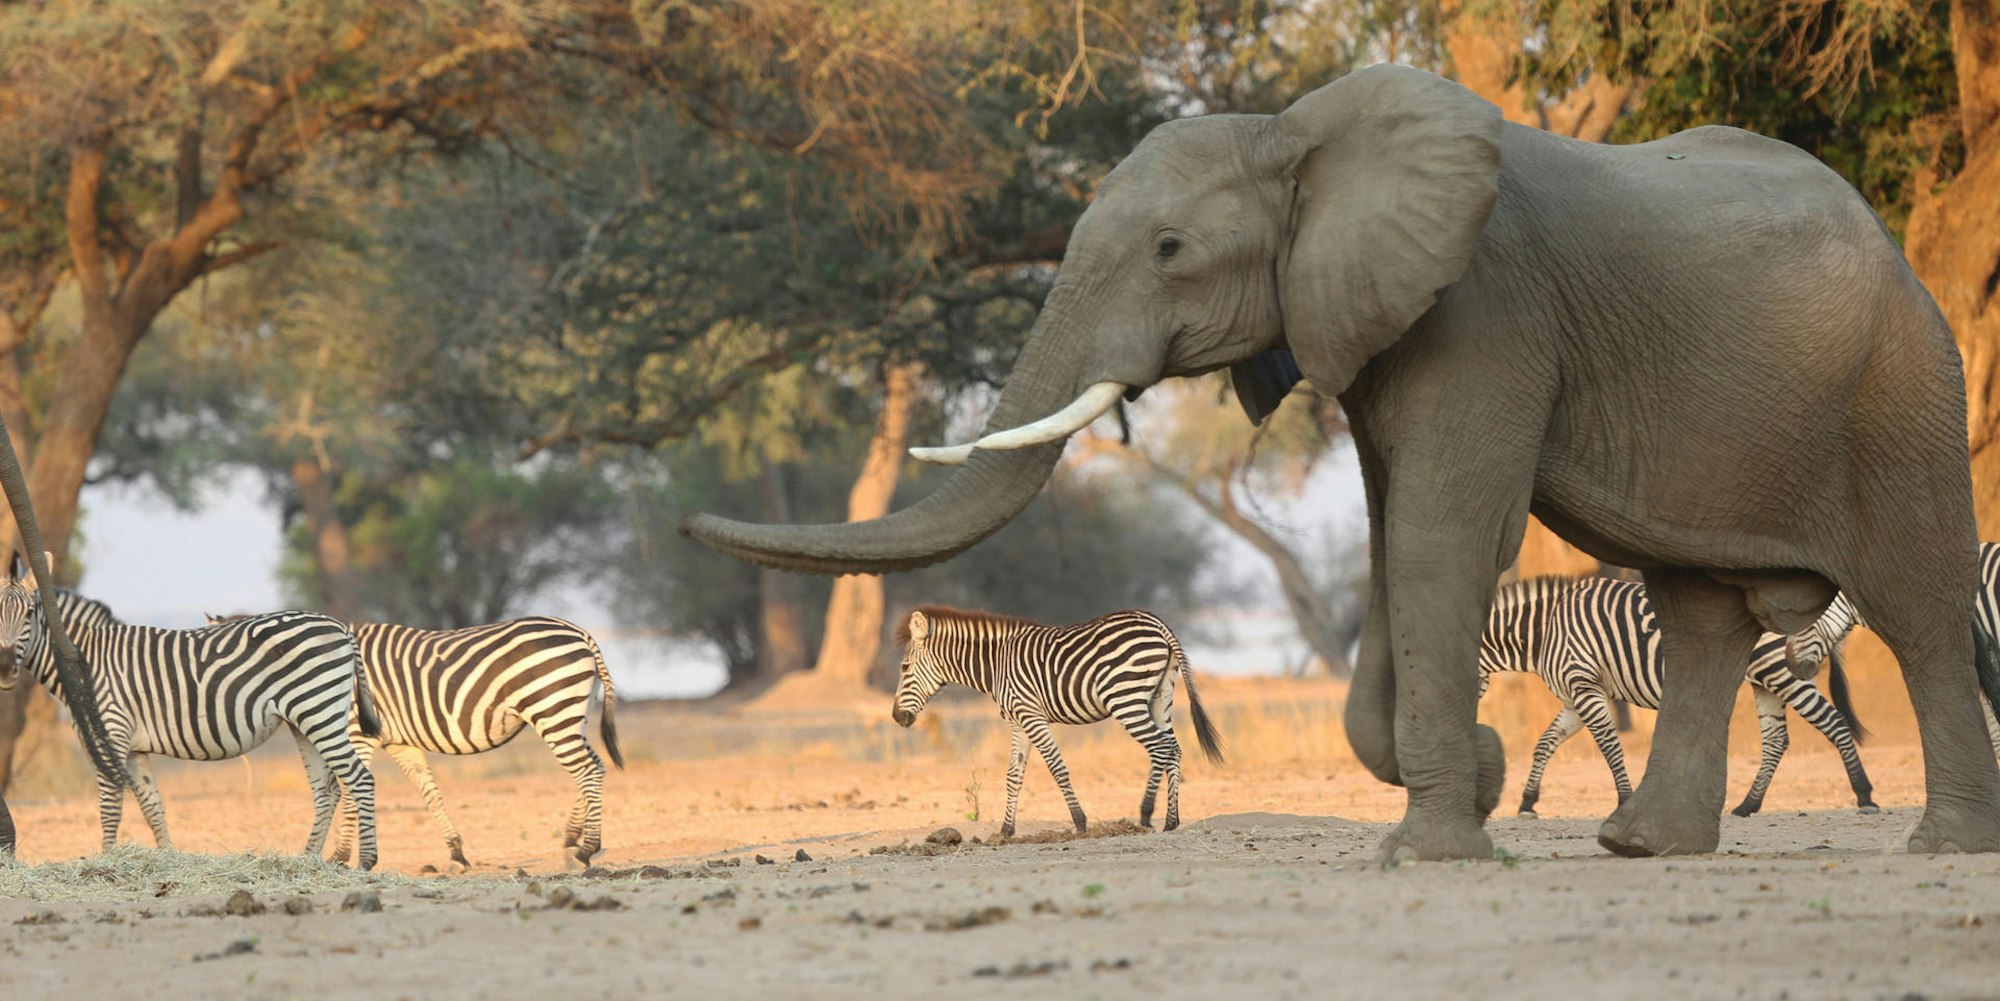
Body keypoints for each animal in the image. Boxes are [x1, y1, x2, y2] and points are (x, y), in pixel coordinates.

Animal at [683, 64, 2000, 860]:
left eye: (1169, 251)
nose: (684, 522)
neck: (1295, 132)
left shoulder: (1485, 303)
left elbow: (1437, 532)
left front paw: (1432, 846)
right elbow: (1387, 534)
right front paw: (1472, 786)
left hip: (1903, 376)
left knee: (1919, 604)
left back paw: (1940, 843)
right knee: (1698, 607)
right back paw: (1642, 845)